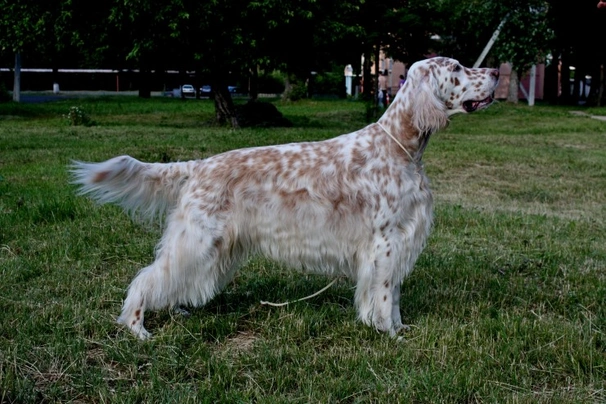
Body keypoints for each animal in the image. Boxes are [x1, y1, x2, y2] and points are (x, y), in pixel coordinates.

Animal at [71, 56, 502, 340]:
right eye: (457, 68)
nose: (498, 71)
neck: (401, 147)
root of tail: (199, 165)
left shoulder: (398, 241)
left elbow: (392, 294)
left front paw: (398, 328)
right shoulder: (385, 242)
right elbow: (382, 294)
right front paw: (387, 334)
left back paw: (175, 310)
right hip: (198, 237)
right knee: (148, 277)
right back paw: (136, 327)